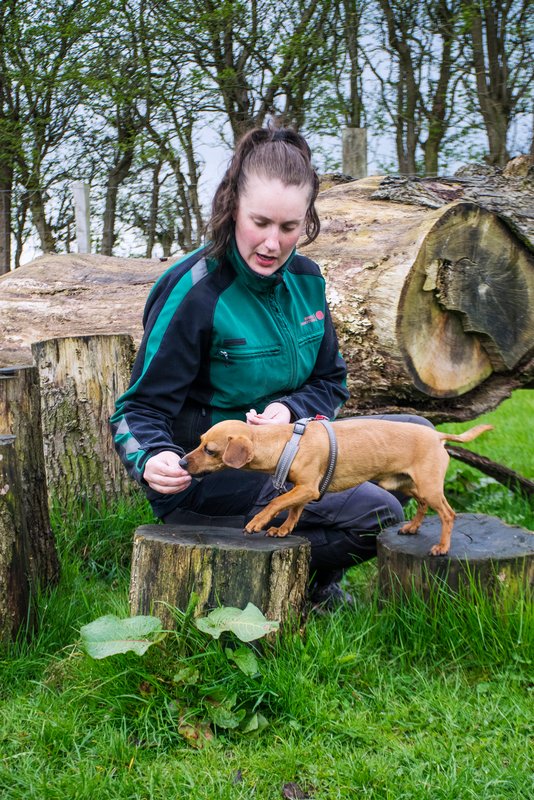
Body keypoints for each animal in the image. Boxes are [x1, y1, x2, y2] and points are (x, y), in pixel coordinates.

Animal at [180, 418, 494, 556]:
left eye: (209, 450)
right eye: (199, 441)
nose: (181, 462)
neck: (286, 443)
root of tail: (438, 436)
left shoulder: (308, 488)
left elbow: (276, 503)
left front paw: (258, 522)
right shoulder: (303, 491)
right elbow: (293, 511)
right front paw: (283, 530)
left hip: (428, 486)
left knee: (448, 514)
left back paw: (442, 546)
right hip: (410, 485)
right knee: (424, 506)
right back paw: (413, 528)